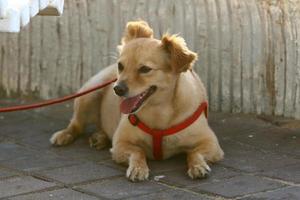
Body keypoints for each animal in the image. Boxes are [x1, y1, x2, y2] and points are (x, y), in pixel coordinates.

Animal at [50, 20, 224, 181]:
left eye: (145, 69)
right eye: (120, 66)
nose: (117, 89)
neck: (159, 111)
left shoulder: (211, 144)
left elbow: (193, 152)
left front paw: (198, 166)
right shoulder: (120, 145)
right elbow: (138, 150)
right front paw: (138, 168)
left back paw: (99, 137)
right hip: (89, 93)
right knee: (77, 124)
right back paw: (65, 135)